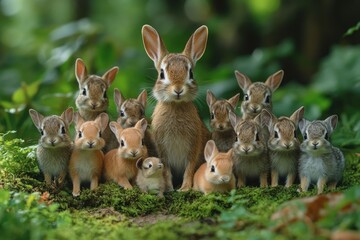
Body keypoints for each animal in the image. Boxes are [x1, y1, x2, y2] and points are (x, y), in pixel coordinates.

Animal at [141, 24, 211, 191]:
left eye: (191, 73)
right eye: (162, 74)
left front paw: (184, 188)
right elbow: (165, 168)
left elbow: (190, 168)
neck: (176, 105)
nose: (178, 89)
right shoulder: (162, 148)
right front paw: (169, 188)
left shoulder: (194, 145)